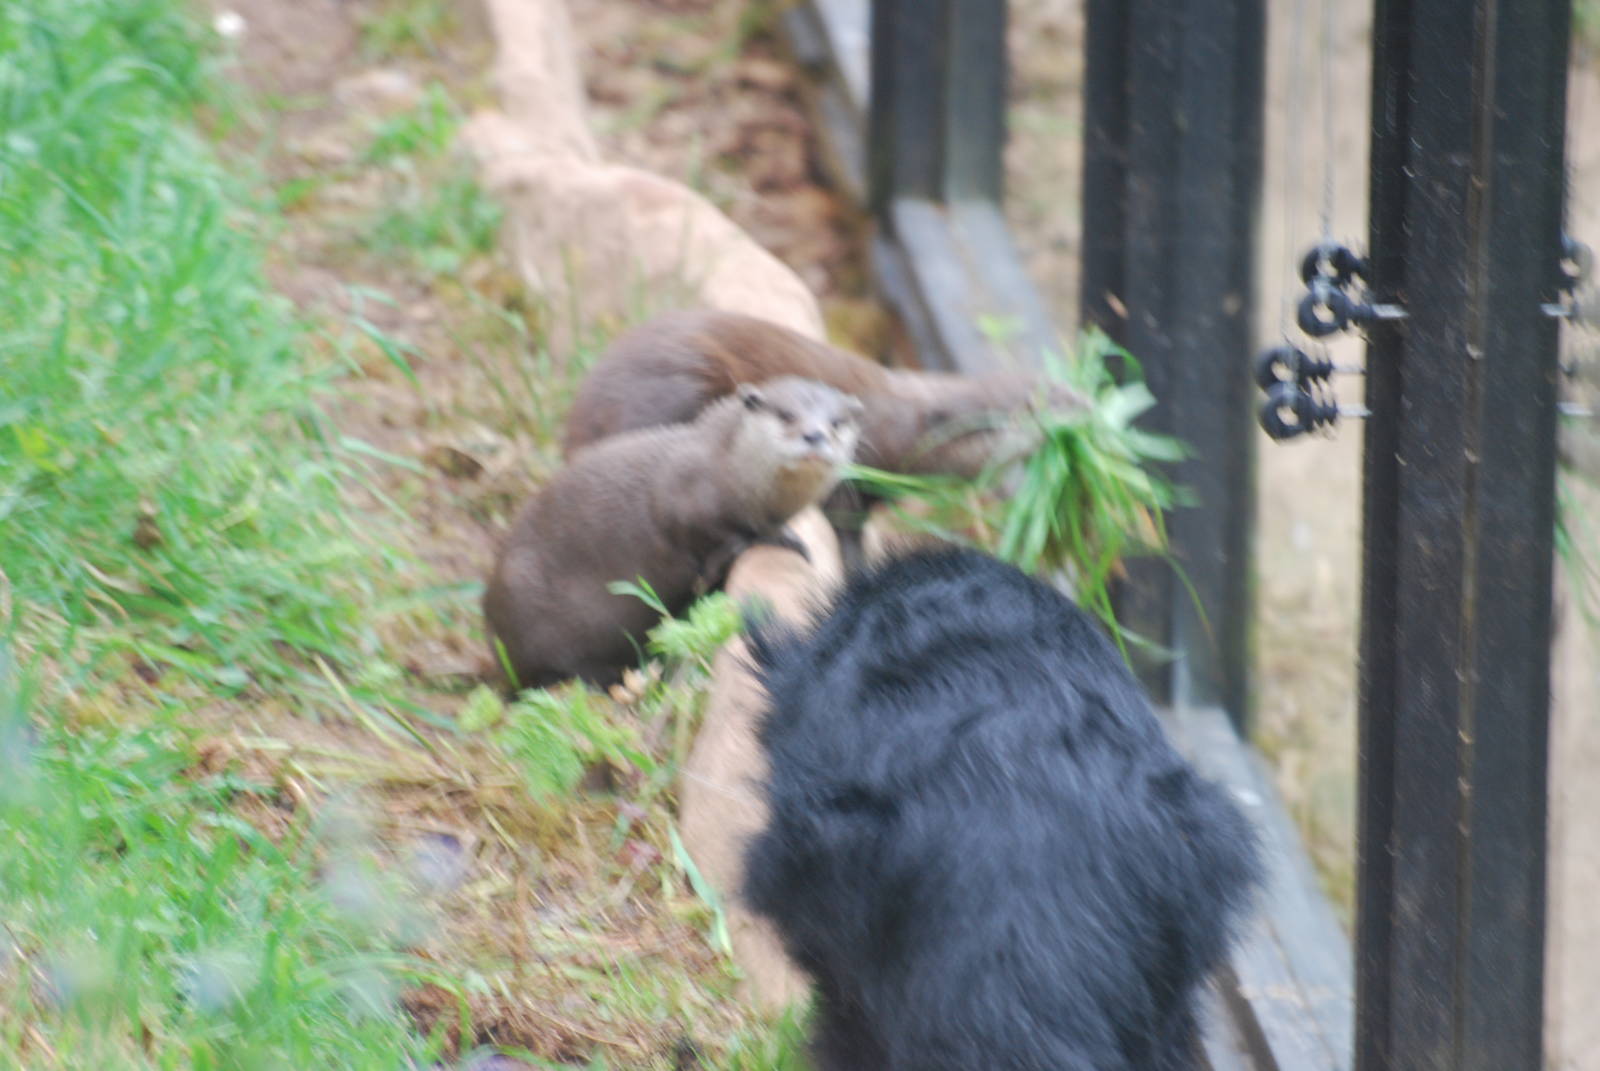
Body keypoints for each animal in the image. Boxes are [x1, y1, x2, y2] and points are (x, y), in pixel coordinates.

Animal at [483, 376, 862, 691]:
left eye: (837, 422)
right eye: (786, 415)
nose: (815, 435)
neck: (730, 472)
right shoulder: (683, 504)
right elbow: (705, 535)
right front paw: (765, 540)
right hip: (528, 602)